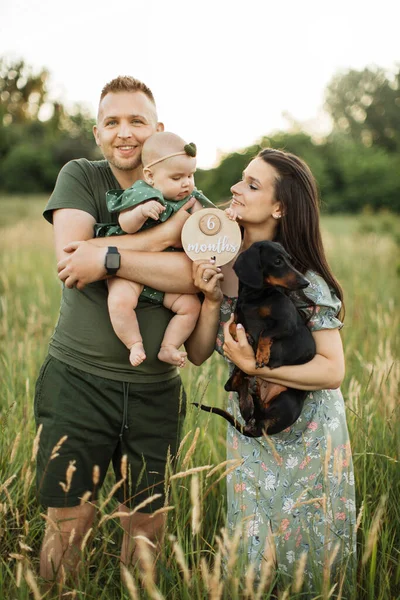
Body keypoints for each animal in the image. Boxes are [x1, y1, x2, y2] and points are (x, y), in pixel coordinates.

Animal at [194, 239, 316, 436]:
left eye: (289, 259)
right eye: (277, 261)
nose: (306, 283)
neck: (255, 298)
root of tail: (254, 427)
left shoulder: (287, 322)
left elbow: (266, 333)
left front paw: (262, 355)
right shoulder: (238, 318)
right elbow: (233, 326)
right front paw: (247, 337)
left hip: (288, 399)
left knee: (262, 412)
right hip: (242, 385)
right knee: (234, 387)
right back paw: (252, 388)